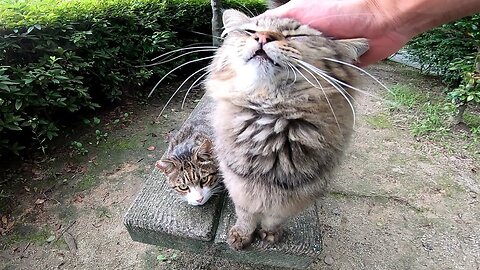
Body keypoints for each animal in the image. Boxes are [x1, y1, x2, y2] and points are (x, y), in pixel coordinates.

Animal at [205, 8, 368, 249]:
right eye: (250, 31)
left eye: (297, 36)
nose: (263, 37)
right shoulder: (240, 184)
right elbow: (245, 215)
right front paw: (241, 236)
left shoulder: (296, 195)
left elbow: (274, 218)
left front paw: (270, 234)